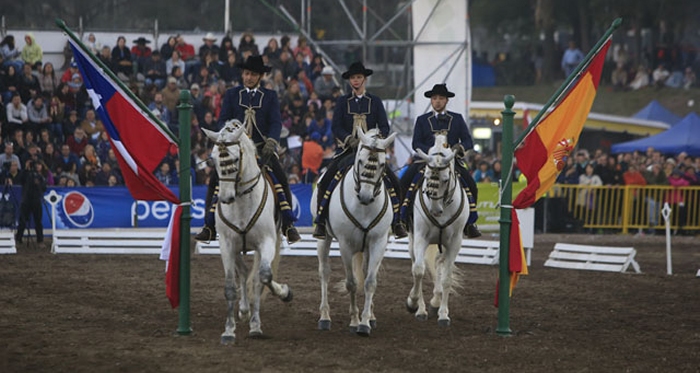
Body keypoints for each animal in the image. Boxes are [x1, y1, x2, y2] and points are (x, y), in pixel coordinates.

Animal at [202, 119, 292, 342]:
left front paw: (283, 294)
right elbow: (229, 286)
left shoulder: (266, 243)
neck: (242, 202)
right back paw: (243, 310)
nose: (226, 198)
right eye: (213, 159)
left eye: (235, 158)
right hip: (235, 248)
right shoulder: (226, 245)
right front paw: (228, 330)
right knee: (242, 272)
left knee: (257, 277)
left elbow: (264, 278)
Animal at [310, 127, 394, 334]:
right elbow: (352, 283)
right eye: (361, 160)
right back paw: (325, 317)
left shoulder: (378, 242)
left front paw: (365, 322)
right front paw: (355, 320)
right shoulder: (345, 245)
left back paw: (371, 315)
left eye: (382, 164)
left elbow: (369, 282)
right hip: (323, 238)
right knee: (324, 272)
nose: (365, 196)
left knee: (364, 273)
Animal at [408, 134, 468, 326]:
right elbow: (418, 270)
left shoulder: (454, 243)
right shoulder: (421, 237)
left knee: (438, 263)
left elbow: (447, 278)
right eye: (426, 176)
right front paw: (414, 304)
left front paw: (443, 314)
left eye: (445, 179)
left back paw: (436, 301)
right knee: (417, 265)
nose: (434, 210)